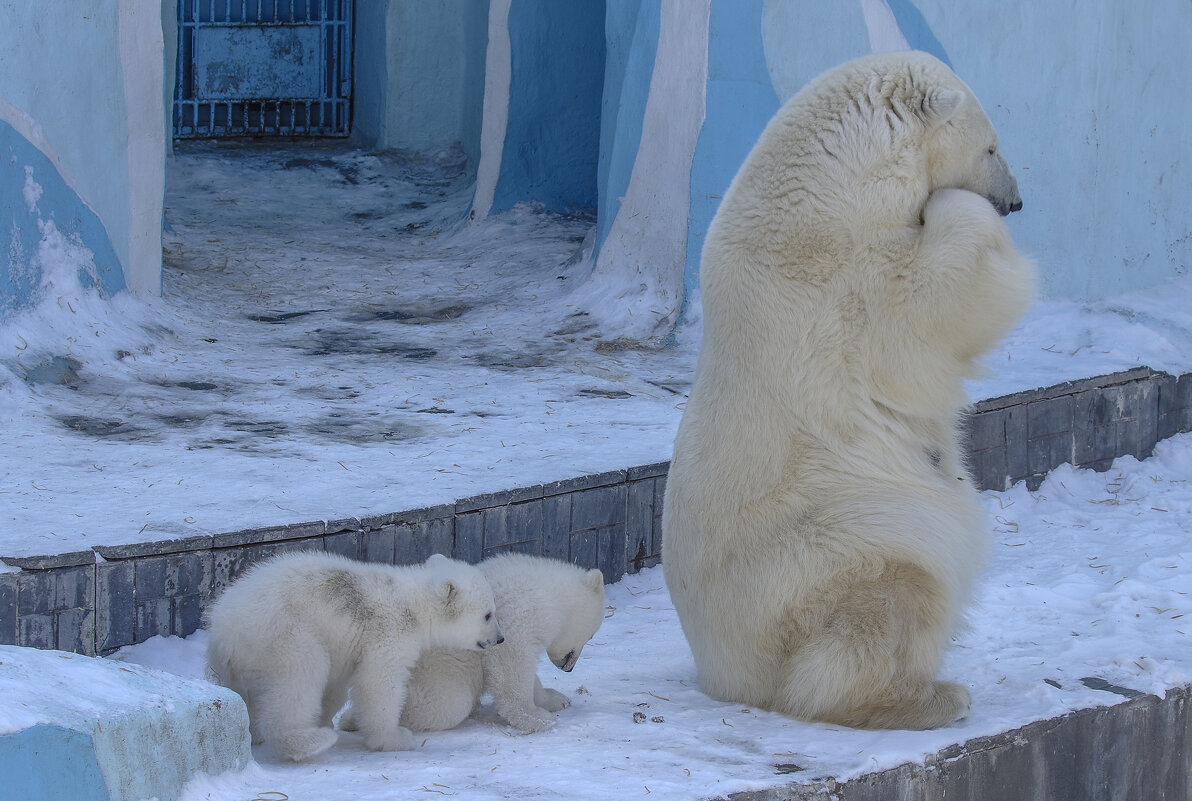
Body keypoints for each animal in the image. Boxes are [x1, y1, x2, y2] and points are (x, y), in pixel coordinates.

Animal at [205, 553, 503, 758]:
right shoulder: (390, 632)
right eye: (488, 614)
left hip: (231, 665)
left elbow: (337, 686)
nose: (500, 639)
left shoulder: (346, 647)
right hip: (282, 634)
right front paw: (394, 738)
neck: (413, 606)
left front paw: (328, 717)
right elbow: (379, 682)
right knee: (302, 675)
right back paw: (308, 741)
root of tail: (225, 633)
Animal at [662, 51, 1034, 734]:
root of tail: (727, 676)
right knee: (888, 599)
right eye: (992, 145)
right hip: (834, 542)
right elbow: (938, 298)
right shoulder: (845, 278)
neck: (828, 189)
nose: (1015, 201)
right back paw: (932, 696)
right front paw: (965, 212)